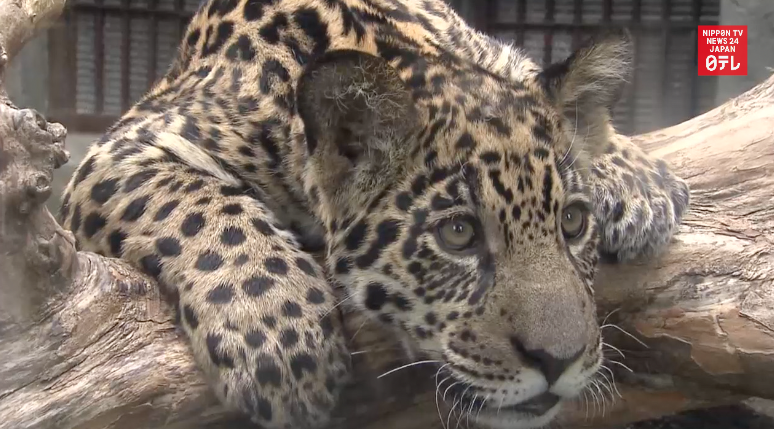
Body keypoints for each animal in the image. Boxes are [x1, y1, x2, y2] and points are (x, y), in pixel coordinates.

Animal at [57, 0, 690, 428]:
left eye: (573, 223)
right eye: (458, 233)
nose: (559, 362)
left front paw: (637, 178)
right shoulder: (123, 147)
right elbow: (202, 209)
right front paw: (279, 344)